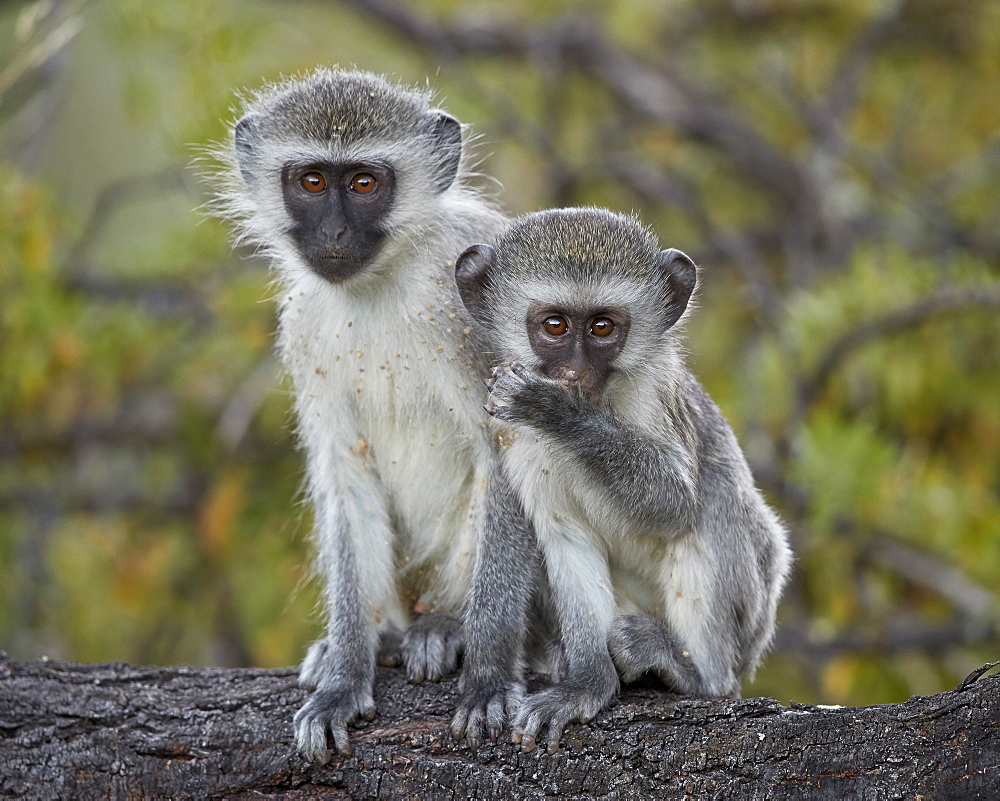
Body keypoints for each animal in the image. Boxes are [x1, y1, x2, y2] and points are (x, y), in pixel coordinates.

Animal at [211, 67, 532, 756]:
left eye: (364, 183)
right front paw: (343, 678)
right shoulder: (304, 328)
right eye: (312, 181)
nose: (333, 235)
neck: (382, 281)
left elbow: (512, 452)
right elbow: (346, 474)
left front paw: (489, 675)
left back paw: (445, 626)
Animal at [452, 209, 788, 752]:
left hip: (753, 616)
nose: (575, 373)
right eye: (555, 325)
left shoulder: (654, 395)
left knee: (715, 504)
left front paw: (555, 408)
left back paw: (697, 674)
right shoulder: (511, 437)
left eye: (603, 327)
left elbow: (674, 503)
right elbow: (565, 535)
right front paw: (587, 684)